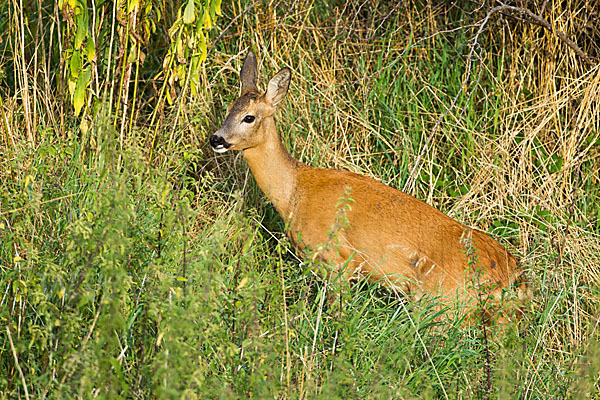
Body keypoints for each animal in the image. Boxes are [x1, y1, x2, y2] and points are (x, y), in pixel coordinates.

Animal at [209, 50, 528, 322]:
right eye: (227, 109)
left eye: (249, 117)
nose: (216, 139)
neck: (294, 193)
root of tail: (509, 273)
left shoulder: (338, 259)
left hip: (440, 301)